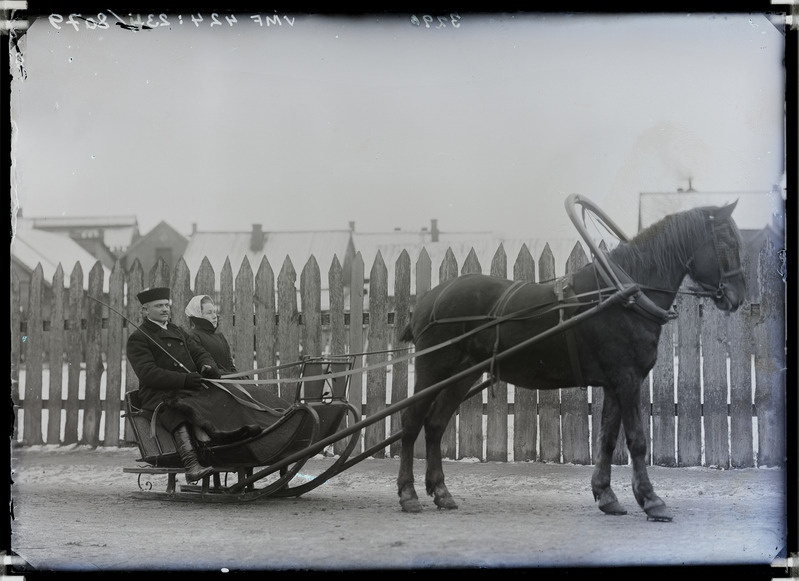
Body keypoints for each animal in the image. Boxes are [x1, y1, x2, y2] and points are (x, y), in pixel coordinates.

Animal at [396, 199, 748, 520]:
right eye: (728, 242)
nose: (737, 297)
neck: (623, 294)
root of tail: (429, 298)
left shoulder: (614, 384)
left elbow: (607, 439)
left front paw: (606, 496)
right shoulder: (627, 380)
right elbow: (636, 440)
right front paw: (651, 500)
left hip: (463, 374)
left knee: (435, 424)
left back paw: (441, 492)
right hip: (432, 370)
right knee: (411, 421)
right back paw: (408, 493)